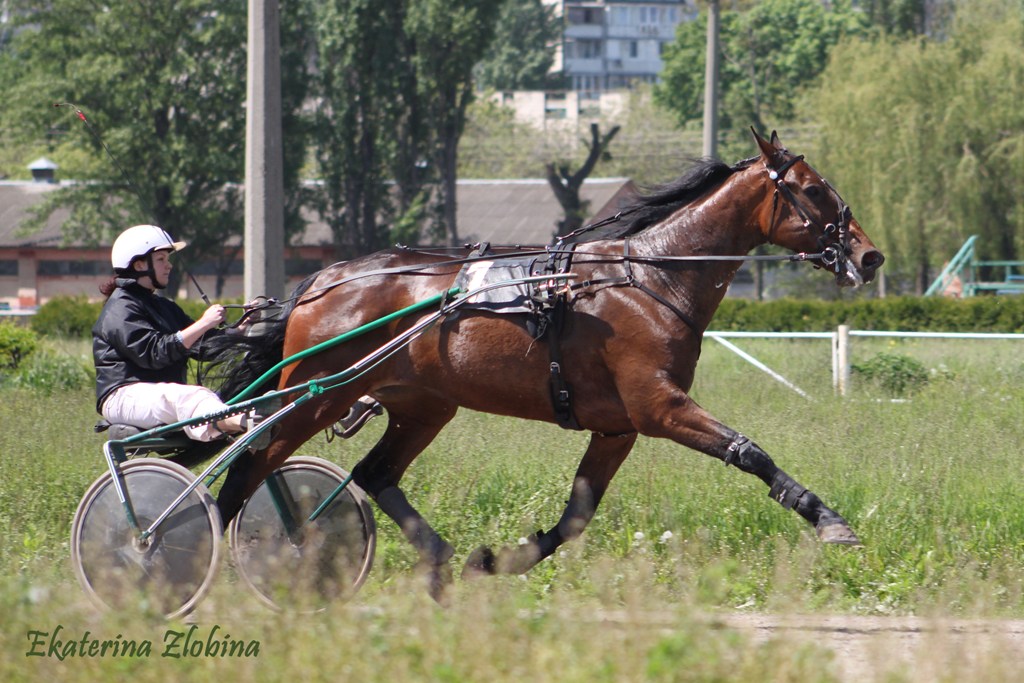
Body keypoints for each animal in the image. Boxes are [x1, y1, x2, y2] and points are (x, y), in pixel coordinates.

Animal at [205, 131, 880, 602]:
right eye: (813, 188)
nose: (869, 256)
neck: (651, 277)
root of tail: (321, 280)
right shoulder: (660, 407)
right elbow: (749, 451)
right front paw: (829, 521)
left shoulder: (617, 426)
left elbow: (576, 517)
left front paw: (496, 561)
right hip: (316, 394)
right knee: (248, 468)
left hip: (422, 405)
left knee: (374, 473)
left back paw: (439, 561)